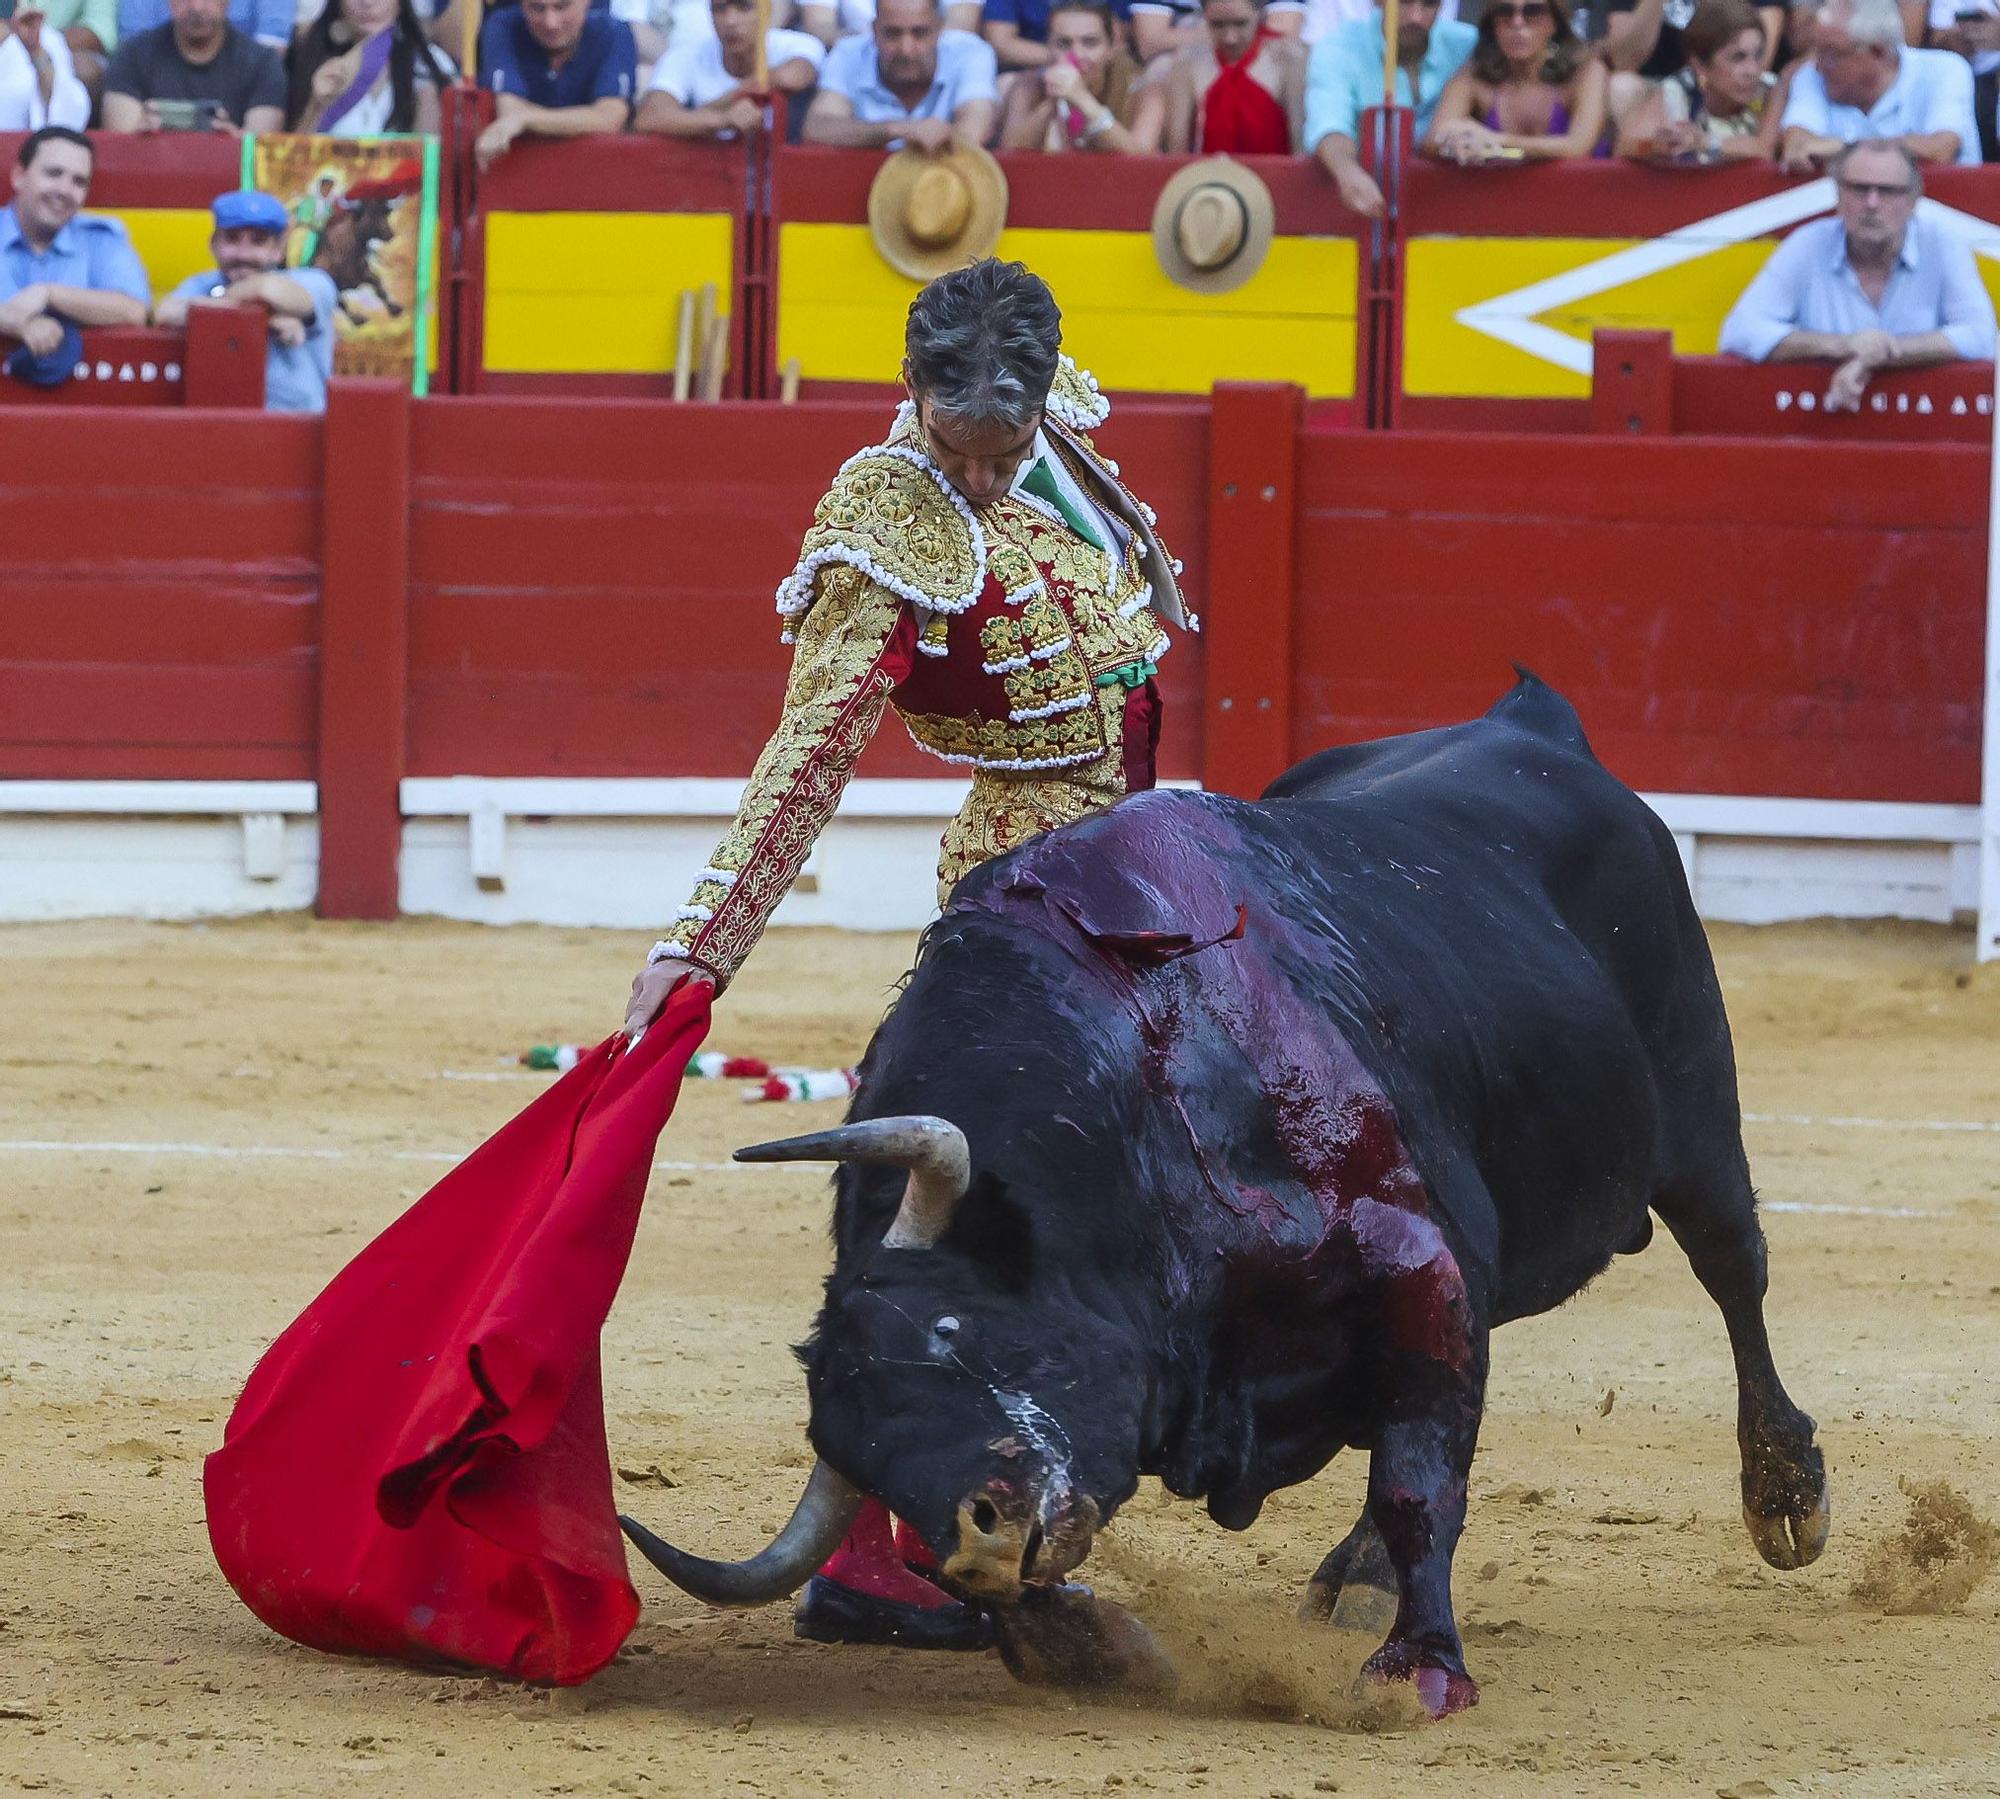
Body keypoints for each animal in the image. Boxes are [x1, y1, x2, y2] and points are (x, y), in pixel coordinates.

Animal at [624, 675, 1832, 1711]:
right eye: (865, 1447)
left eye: (956, 1332)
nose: (976, 1538)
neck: (1132, 1107)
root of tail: (1535, 726)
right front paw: (1094, 1648)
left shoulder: (1410, 1253)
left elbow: (1415, 1476)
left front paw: (1420, 1671)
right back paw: (1356, 1577)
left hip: (1697, 1110)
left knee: (1733, 1270)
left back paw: (1785, 1495)